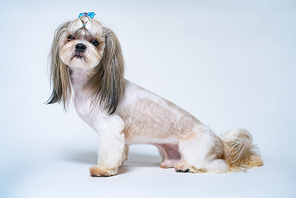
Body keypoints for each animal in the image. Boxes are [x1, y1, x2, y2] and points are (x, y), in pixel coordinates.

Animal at [47, 12, 262, 176]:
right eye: (70, 37)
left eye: (94, 41)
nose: (80, 46)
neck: (92, 83)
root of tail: (220, 141)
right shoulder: (119, 135)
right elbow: (121, 149)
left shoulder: (110, 128)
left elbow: (109, 151)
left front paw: (104, 169)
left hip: (196, 150)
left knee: (216, 165)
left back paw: (187, 166)